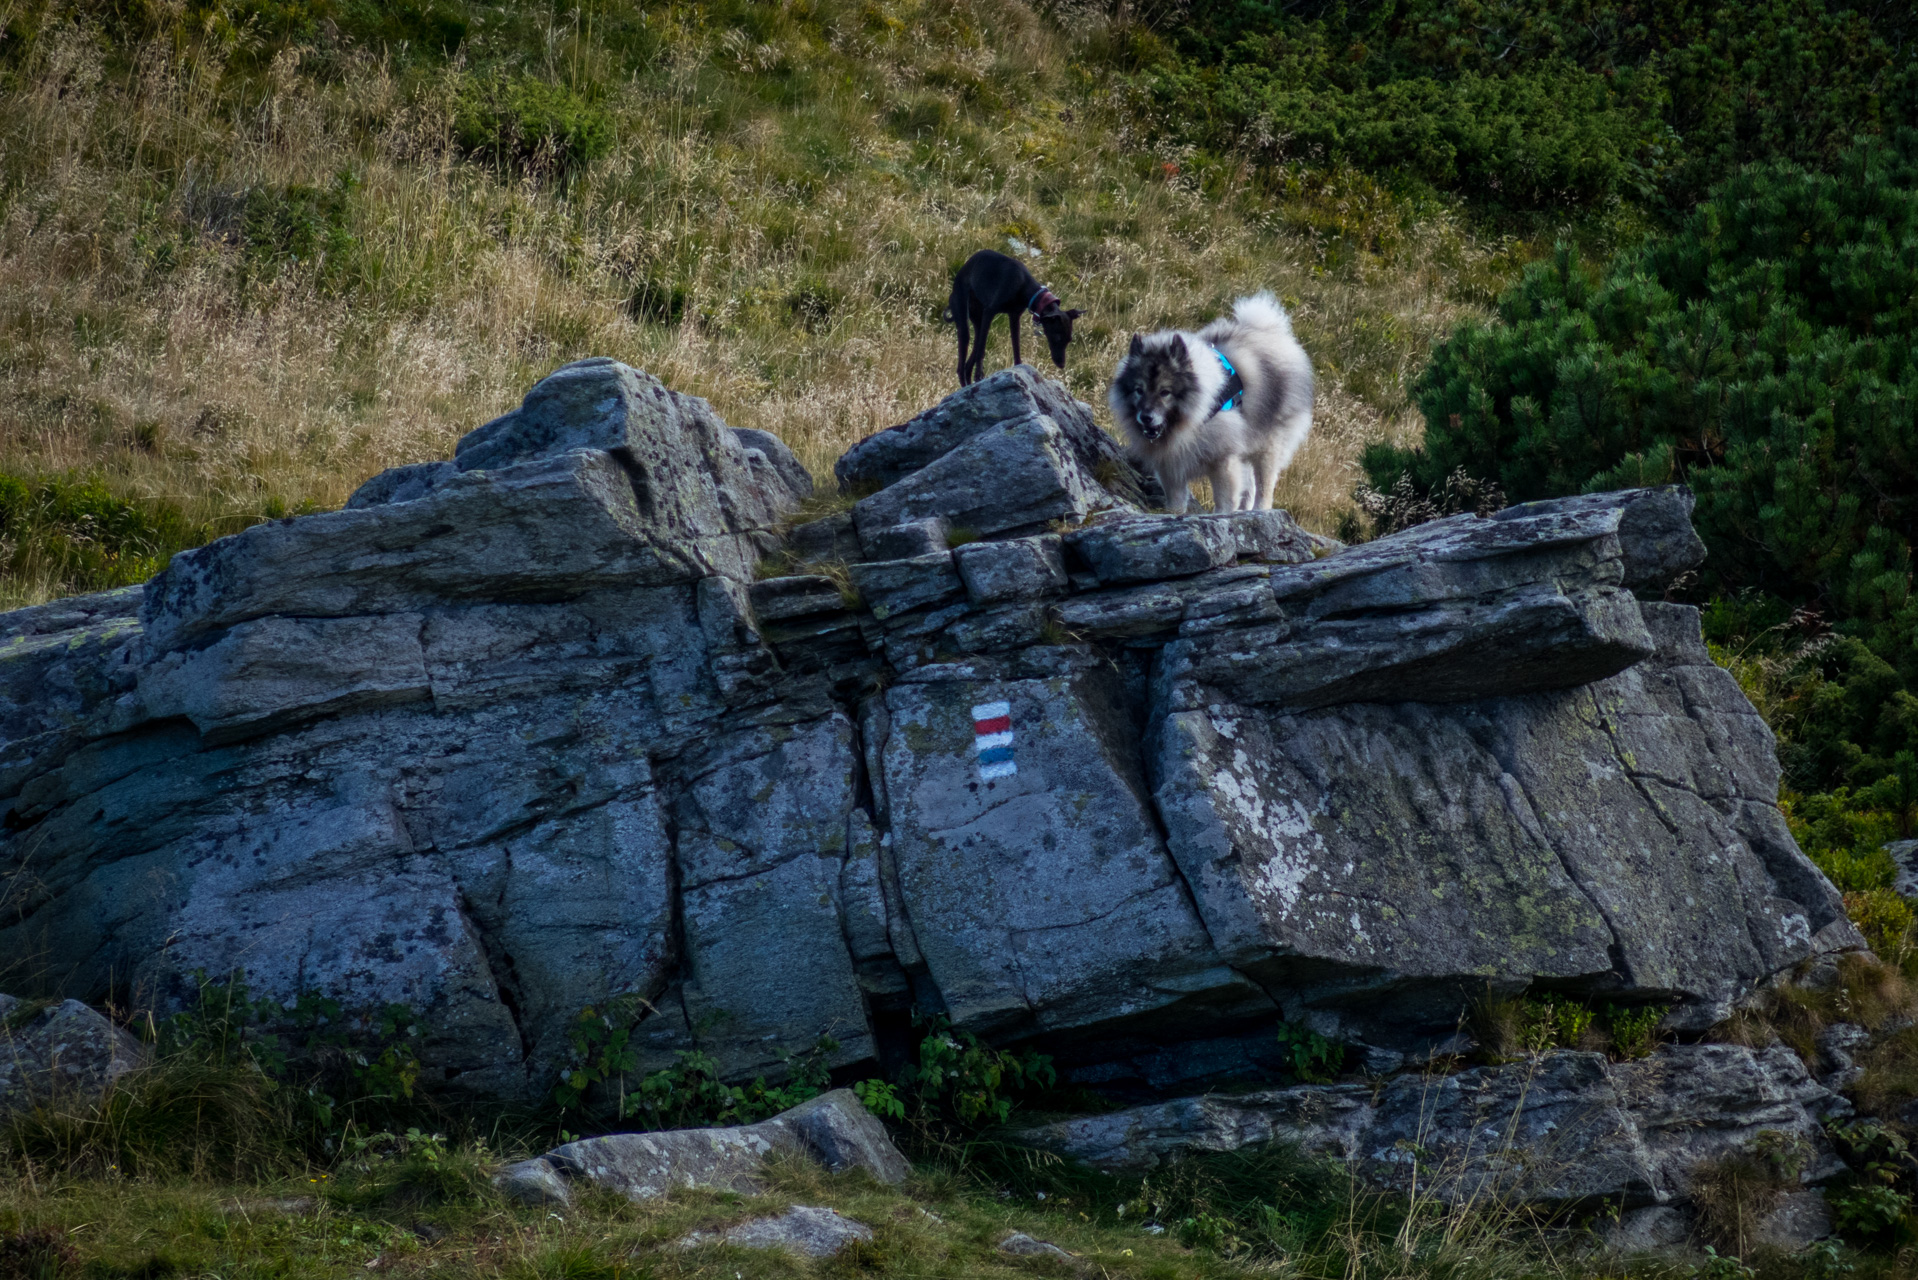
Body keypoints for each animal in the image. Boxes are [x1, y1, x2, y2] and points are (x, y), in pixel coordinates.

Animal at [943, 249, 1081, 385]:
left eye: (1069, 340)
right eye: (1057, 337)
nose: (1061, 364)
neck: (1023, 283)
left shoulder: (1014, 317)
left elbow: (1016, 349)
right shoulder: (990, 312)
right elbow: (982, 351)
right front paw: (979, 375)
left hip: (978, 322)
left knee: (968, 363)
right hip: (964, 319)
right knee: (962, 366)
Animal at [1104, 293, 1311, 514]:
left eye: (1165, 392)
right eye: (1139, 390)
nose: (1146, 417)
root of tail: (1269, 331)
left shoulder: (1223, 459)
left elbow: (1225, 499)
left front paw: (1222, 515)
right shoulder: (1169, 465)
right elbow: (1176, 499)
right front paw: (1174, 514)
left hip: (1267, 446)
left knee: (1264, 486)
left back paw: (1260, 511)